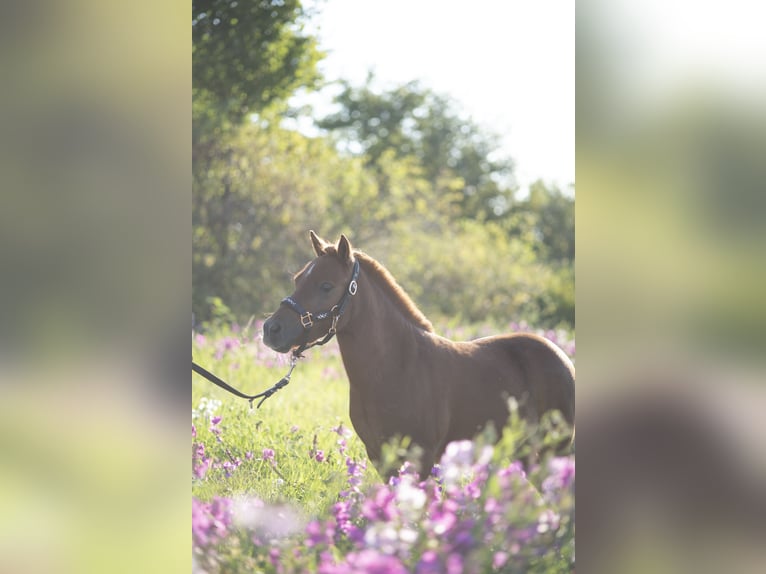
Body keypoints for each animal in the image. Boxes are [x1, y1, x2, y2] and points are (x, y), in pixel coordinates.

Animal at [264, 232, 576, 480]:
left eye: (326, 286)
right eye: (297, 279)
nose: (270, 329)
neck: (396, 367)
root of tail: (563, 357)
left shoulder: (422, 459)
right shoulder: (381, 457)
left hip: (553, 450)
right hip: (526, 453)